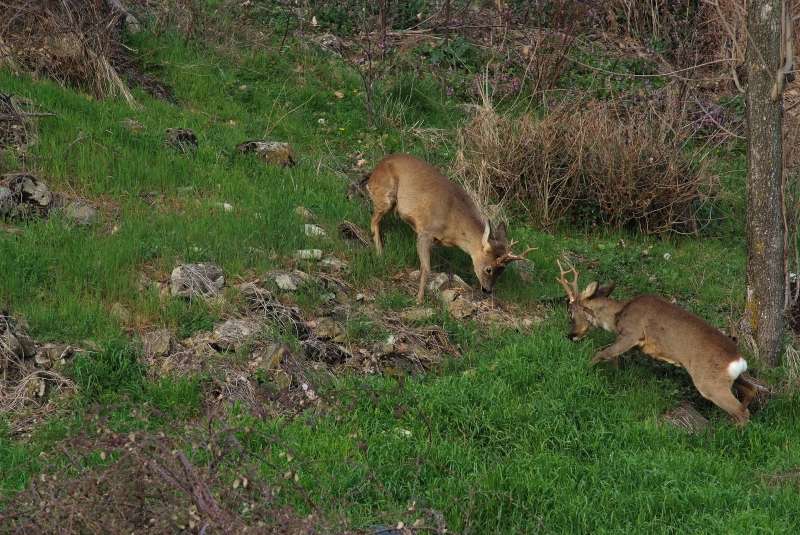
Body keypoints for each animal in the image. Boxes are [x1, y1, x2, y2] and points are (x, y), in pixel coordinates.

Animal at [362, 154, 532, 302]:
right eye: (488, 269)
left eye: (502, 271)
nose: (487, 290)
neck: (454, 226)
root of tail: (374, 172)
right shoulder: (426, 231)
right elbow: (426, 267)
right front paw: (419, 299)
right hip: (385, 195)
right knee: (373, 221)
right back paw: (380, 253)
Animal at [552, 260, 764, 428]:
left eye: (570, 313)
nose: (570, 336)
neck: (618, 315)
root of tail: (739, 360)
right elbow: (614, 357)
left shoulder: (632, 333)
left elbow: (602, 353)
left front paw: (582, 371)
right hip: (729, 378)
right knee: (751, 391)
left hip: (709, 382)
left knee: (741, 411)